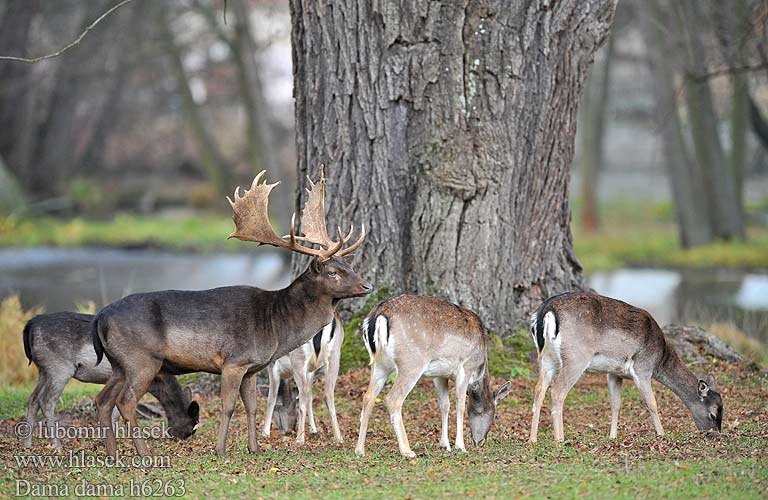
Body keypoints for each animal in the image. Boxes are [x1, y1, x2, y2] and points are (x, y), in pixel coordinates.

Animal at [23, 312, 200, 450]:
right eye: (192, 425)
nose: (182, 437)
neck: (158, 379)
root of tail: (29, 326)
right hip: (59, 369)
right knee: (46, 401)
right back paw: (57, 445)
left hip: (43, 370)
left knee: (33, 399)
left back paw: (27, 444)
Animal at [266, 314, 346, 444]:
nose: (288, 429)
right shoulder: (310, 372)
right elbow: (310, 398)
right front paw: (314, 430)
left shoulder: (272, 365)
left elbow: (271, 398)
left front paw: (265, 433)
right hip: (335, 356)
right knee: (328, 394)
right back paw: (339, 438)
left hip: (299, 360)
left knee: (303, 393)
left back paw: (299, 439)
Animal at [354, 294, 510, 458]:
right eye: (495, 415)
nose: (480, 442)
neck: (479, 369)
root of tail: (377, 316)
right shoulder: (466, 367)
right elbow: (460, 405)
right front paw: (460, 446)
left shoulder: (440, 375)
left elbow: (444, 405)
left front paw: (445, 445)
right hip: (411, 363)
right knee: (392, 399)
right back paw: (407, 451)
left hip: (379, 365)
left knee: (368, 397)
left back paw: (360, 450)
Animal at [528, 292, 728, 442]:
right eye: (713, 414)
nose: (715, 434)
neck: (660, 357)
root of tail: (545, 312)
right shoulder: (643, 368)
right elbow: (652, 403)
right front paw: (662, 434)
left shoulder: (614, 373)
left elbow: (616, 404)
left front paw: (612, 437)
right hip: (576, 357)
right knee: (557, 391)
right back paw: (560, 439)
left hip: (547, 358)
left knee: (539, 389)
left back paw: (533, 439)